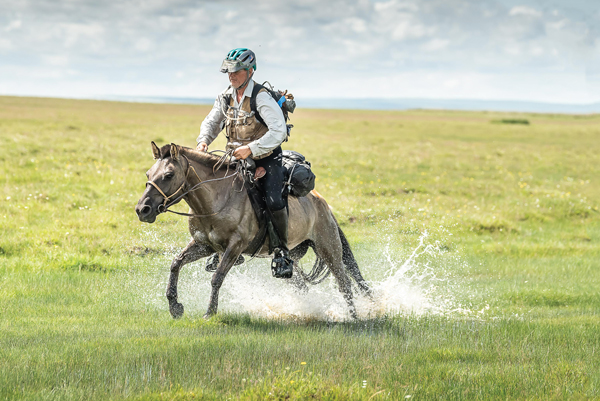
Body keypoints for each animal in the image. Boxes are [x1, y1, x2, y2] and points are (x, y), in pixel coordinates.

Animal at [135, 142, 370, 318]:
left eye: (168, 175)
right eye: (148, 173)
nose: (142, 209)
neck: (216, 201)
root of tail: (323, 204)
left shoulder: (235, 247)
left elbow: (217, 277)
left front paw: (210, 313)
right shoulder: (204, 245)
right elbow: (176, 263)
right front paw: (175, 306)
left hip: (329, 250)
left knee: (345, 283)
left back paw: (353, 317)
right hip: (289, 261)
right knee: (303, 286)